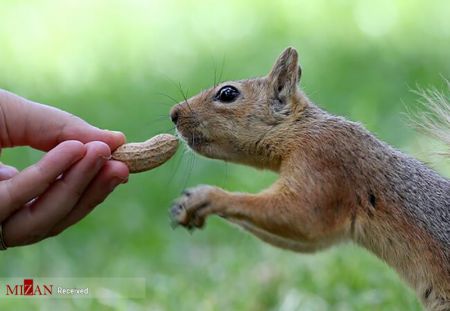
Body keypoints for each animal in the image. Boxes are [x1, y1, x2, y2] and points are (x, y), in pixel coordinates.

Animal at [169, 47, 450, 310]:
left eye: (228, 93)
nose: (174, 113)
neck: (299, 130)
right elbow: (308, 238)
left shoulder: (324, 162)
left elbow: (302, 216)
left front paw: (209, 196)